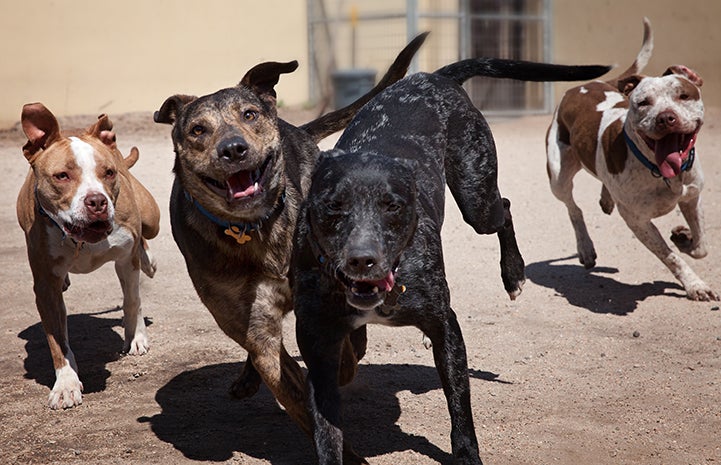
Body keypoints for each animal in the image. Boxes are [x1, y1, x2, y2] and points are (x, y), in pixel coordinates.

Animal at [16, 103, 160, 408]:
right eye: (62, 176)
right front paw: (66, 385)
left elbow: (133, 300)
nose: (97, 201)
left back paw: (149, 261)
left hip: (152, 217)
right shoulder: (45, 287)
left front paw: (136, 337)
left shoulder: (125, 258)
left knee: (145, 240)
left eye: (108, 173)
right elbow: (57, 341)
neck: (80, 240)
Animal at [152, 33, 422, 460]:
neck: (254, 229)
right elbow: (293, 388)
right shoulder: (255, 328)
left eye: (248, 115)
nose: (233, 149)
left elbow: (341, 357)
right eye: (197, 130)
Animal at [544, 18, 716, 300]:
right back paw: (585, 248)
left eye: (683, 95)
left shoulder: (692, 197)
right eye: (643, 102)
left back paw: (606, 199)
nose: (666, 117)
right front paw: (695, 285)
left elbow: (701, 246)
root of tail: (584, 86)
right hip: (558, 177)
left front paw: (684, 239)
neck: (659, 171)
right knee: (573, 208)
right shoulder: (637, 220)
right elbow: (670, 257)